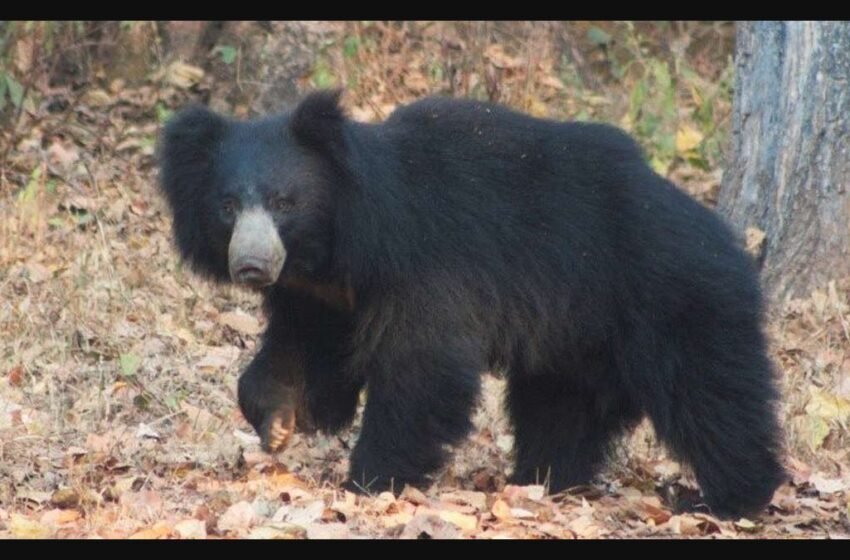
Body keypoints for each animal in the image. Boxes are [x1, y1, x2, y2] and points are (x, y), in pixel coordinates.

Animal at [157, 89, 780, 520]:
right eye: (228, 206)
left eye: (284, 202)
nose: (251, 265)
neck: (338, 243)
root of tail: (724, 236)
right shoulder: (323, 295)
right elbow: (301, 351)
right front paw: (279, 421)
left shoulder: (429, 264)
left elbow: (422, 367)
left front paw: (371, 481)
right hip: (576, 335)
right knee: (561, 407)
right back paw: (545, 480)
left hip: (672, 295)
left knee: (711, 394)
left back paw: (728, 498)